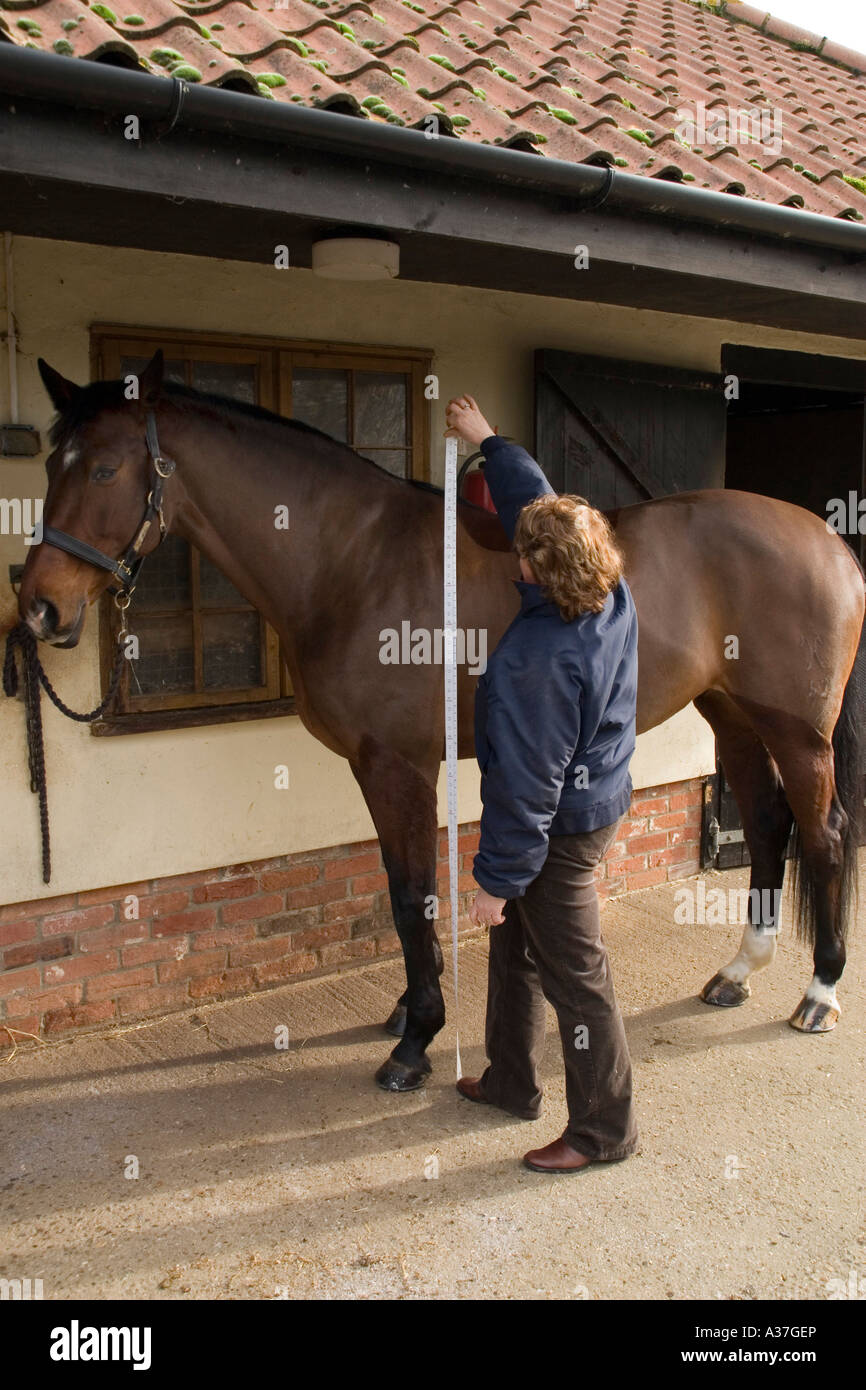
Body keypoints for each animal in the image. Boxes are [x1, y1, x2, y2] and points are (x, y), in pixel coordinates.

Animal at [16, 353, 861, 1089]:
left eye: (103, 469)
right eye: (51, 466)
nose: (39, 608)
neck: (351, 562)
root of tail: (829, 544)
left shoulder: (399, 764)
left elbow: (412, 894)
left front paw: (416, 1039)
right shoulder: (376, 766)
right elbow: (400, 886)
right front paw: (405, 1012)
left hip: (797, 732)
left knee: (822, 835)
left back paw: (818, 993)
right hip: (733, 715)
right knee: (766, 823)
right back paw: (738, 972)